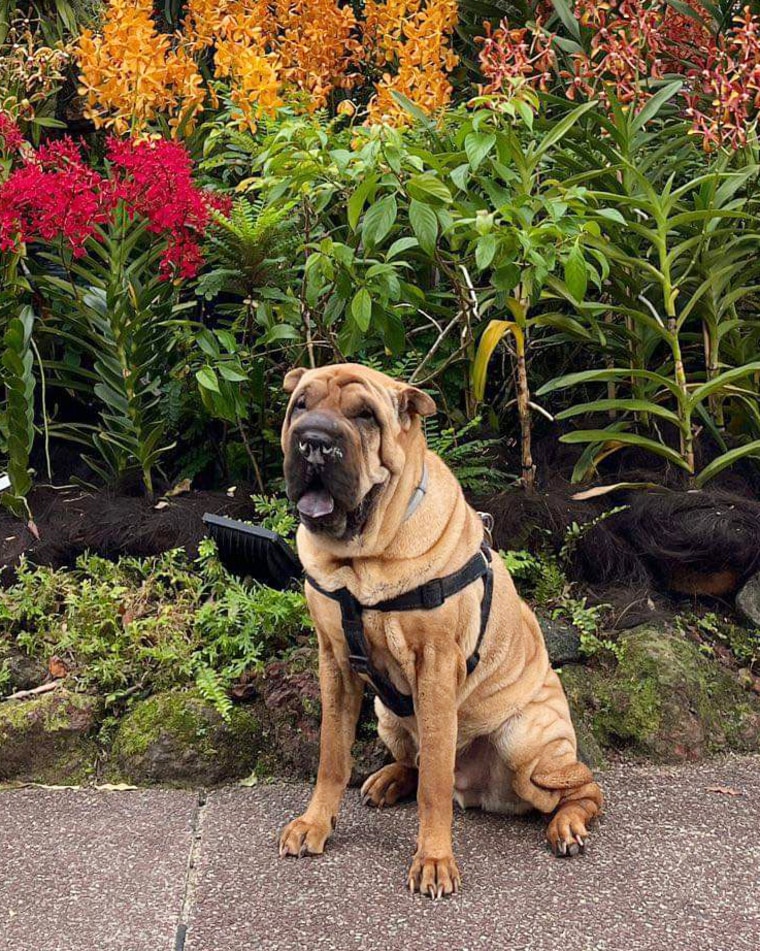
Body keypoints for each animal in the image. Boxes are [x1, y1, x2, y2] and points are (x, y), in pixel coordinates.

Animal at [276, 364, 604, 900]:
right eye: (300, 405)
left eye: (365, 416)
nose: (314, 441)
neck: (362, 562)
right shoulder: (335, 663)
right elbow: (332, 756)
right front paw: (314, 823)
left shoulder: (434, 664)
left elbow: (433, 782)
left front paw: (433, 860)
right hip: (387, 714)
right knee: (416, 763)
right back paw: (388, 780)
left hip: (525, 740)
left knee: (583, 789)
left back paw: (567, 826)